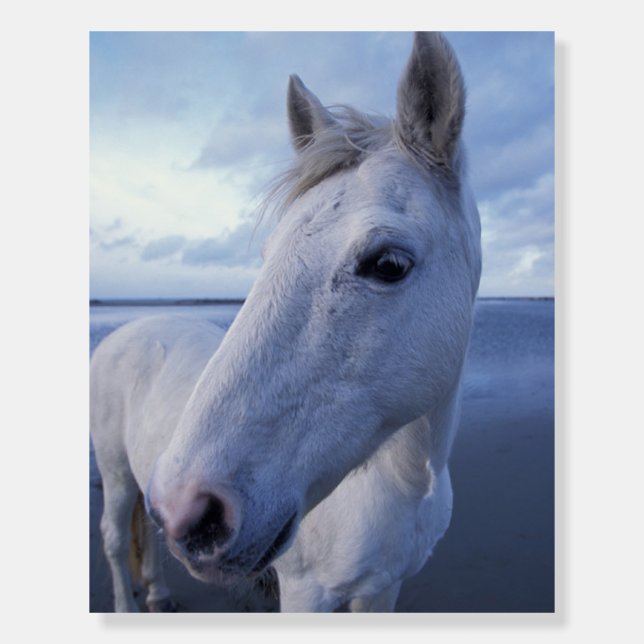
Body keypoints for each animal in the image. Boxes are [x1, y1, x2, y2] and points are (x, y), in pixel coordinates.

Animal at [90, 31, 481, 612]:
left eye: (389, 264)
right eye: (268, 253)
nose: (189, 510)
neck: (403, 482)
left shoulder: (383, 589)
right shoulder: (304, 594)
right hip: (115, 474)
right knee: (116, 540)